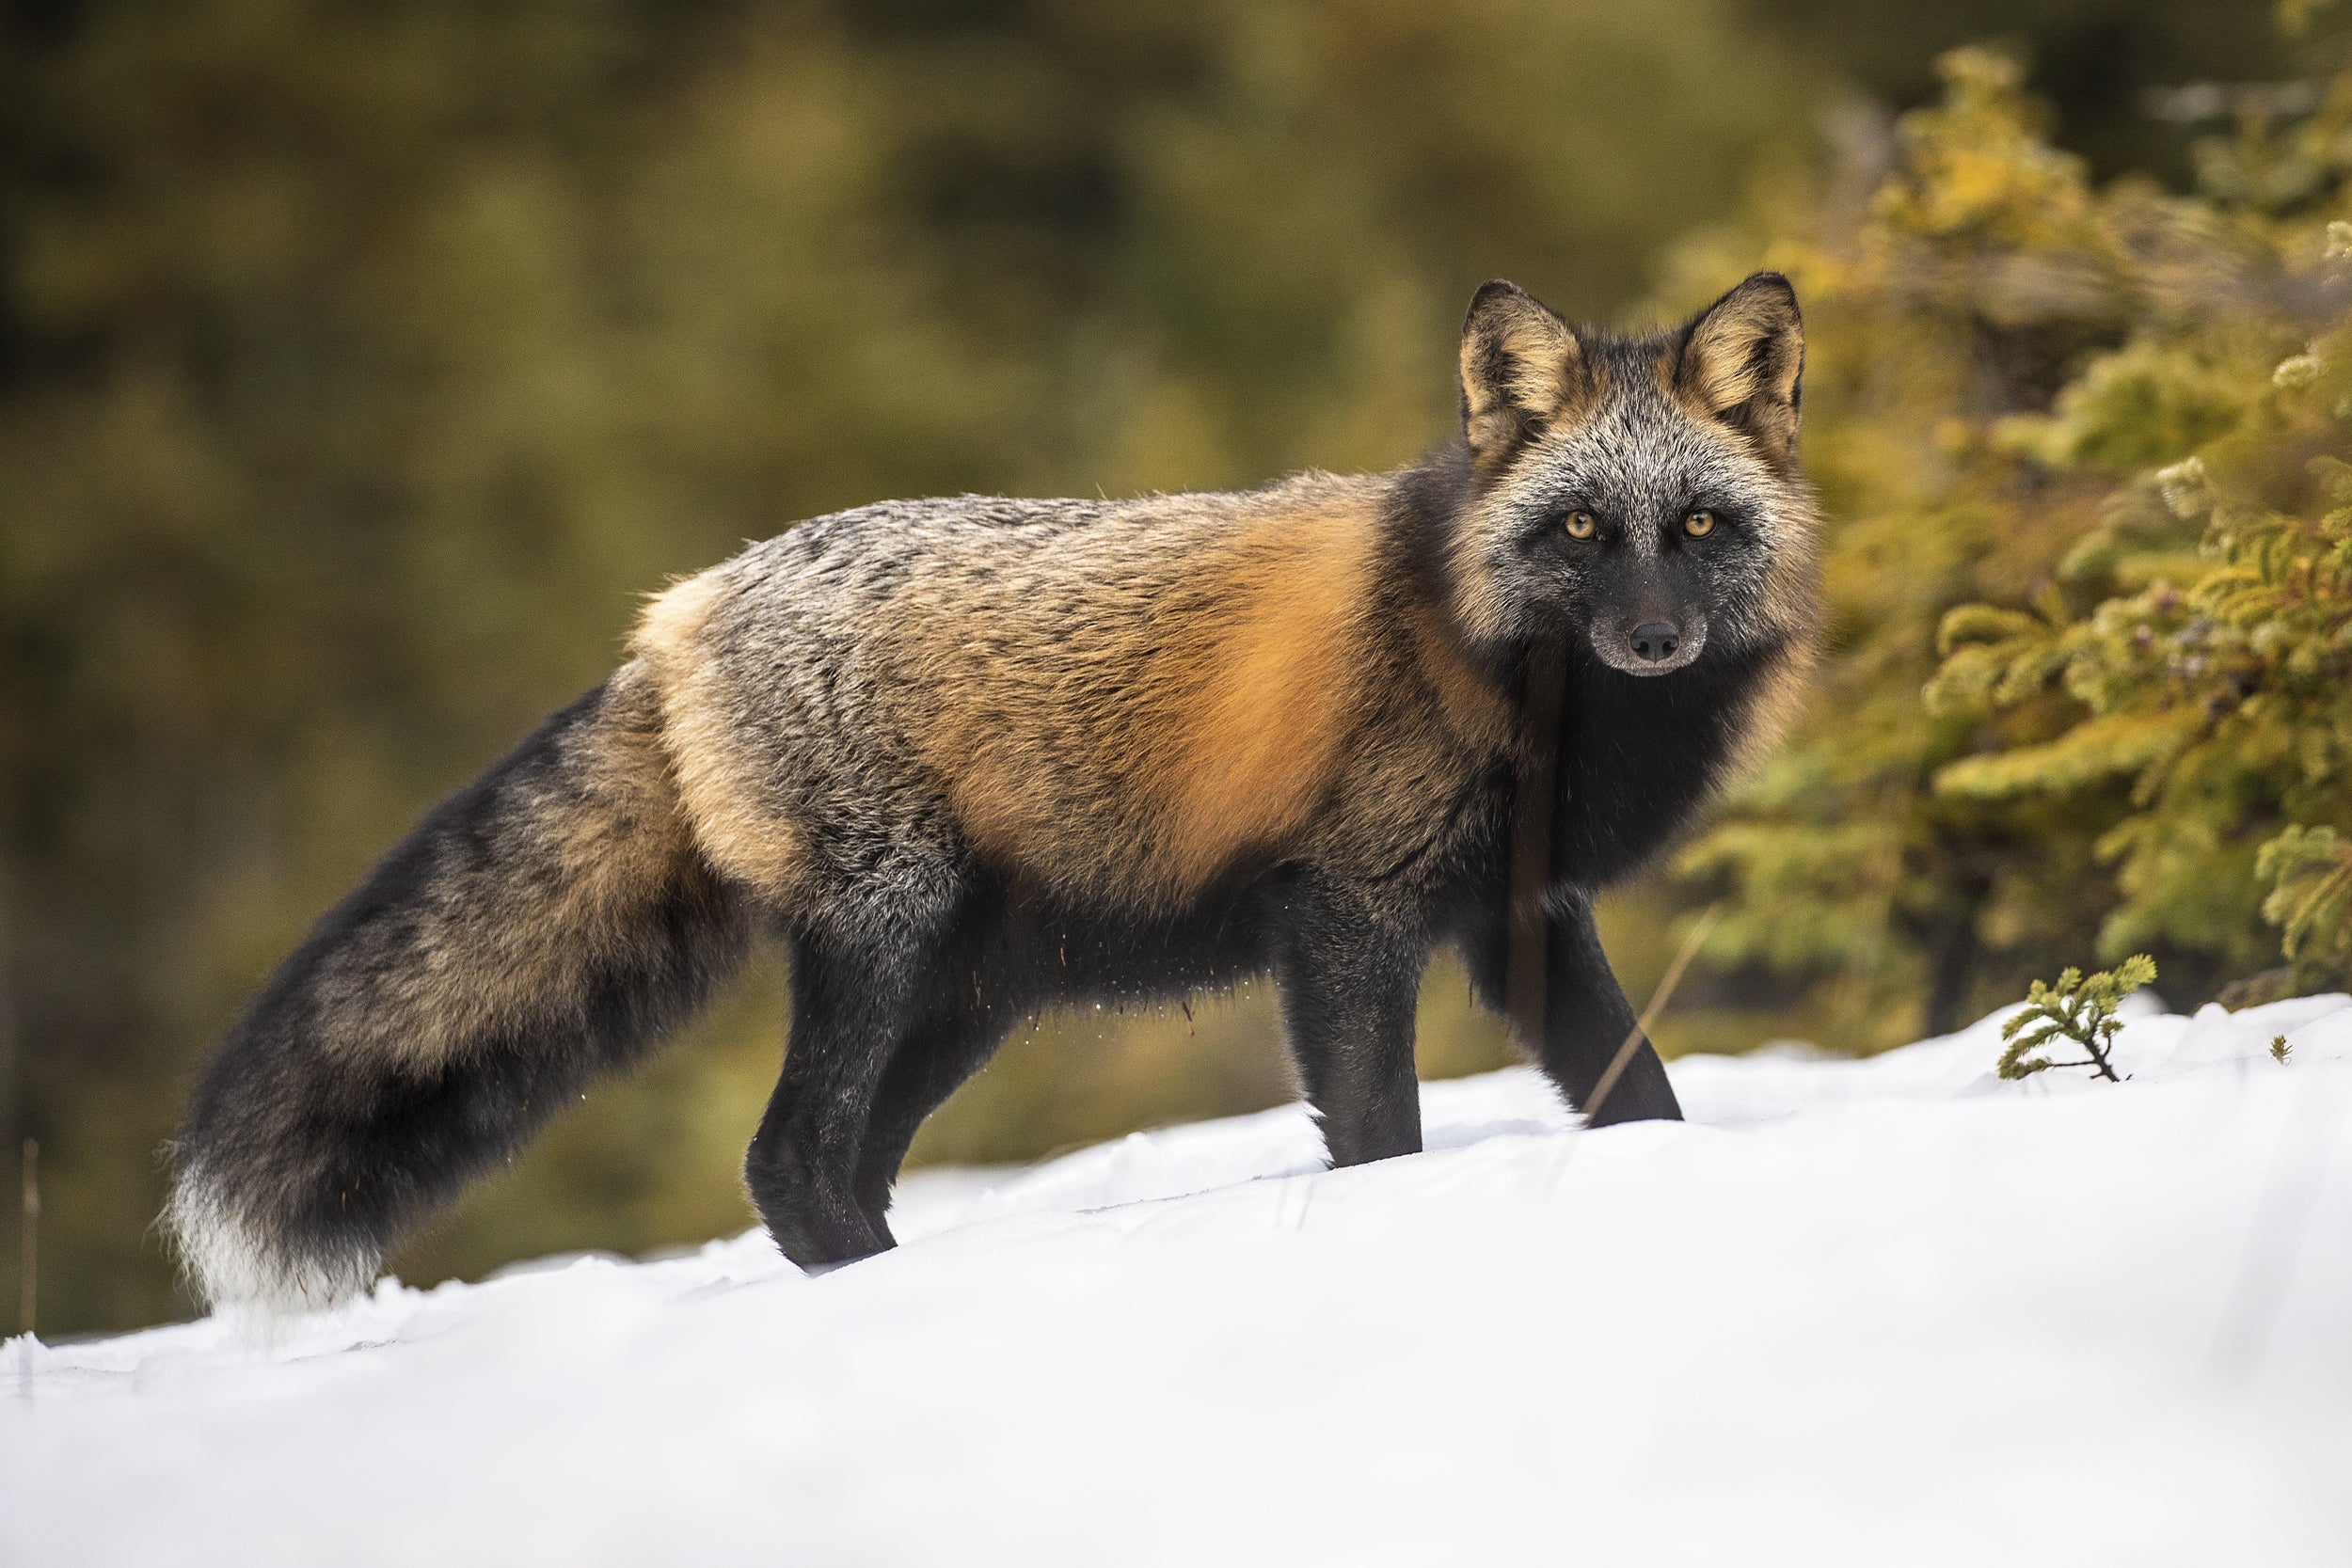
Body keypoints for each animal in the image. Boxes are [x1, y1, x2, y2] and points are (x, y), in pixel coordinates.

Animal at [167, 272, 1816, 1311]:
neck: (1481, 650)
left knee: (827, 1167)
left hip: (969, 996)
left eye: (1697, 524)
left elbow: (1640, 1092)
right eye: (1583, 528)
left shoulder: (1523, 910)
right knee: (786, 1160)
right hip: (889, 943)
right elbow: (1379, 1131)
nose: (1656, 639)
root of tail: (679, 608)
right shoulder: (1348, 917)